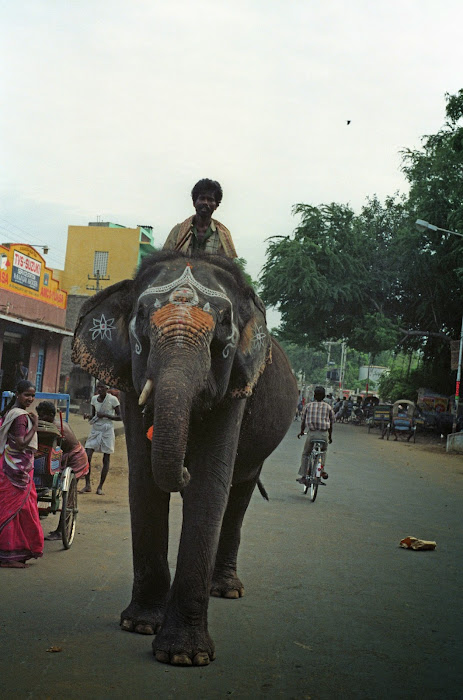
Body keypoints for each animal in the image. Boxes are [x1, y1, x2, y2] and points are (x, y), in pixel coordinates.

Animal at [71, 252, 298, 668]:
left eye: (224, 325)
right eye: (142, 317)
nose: (184, 470)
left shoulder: (236, 388)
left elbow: (210, 485)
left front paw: (184, 656)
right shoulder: (130, 383)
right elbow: (144, 483)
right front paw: (141, 624)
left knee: (238, 494)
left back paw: (226, 589)